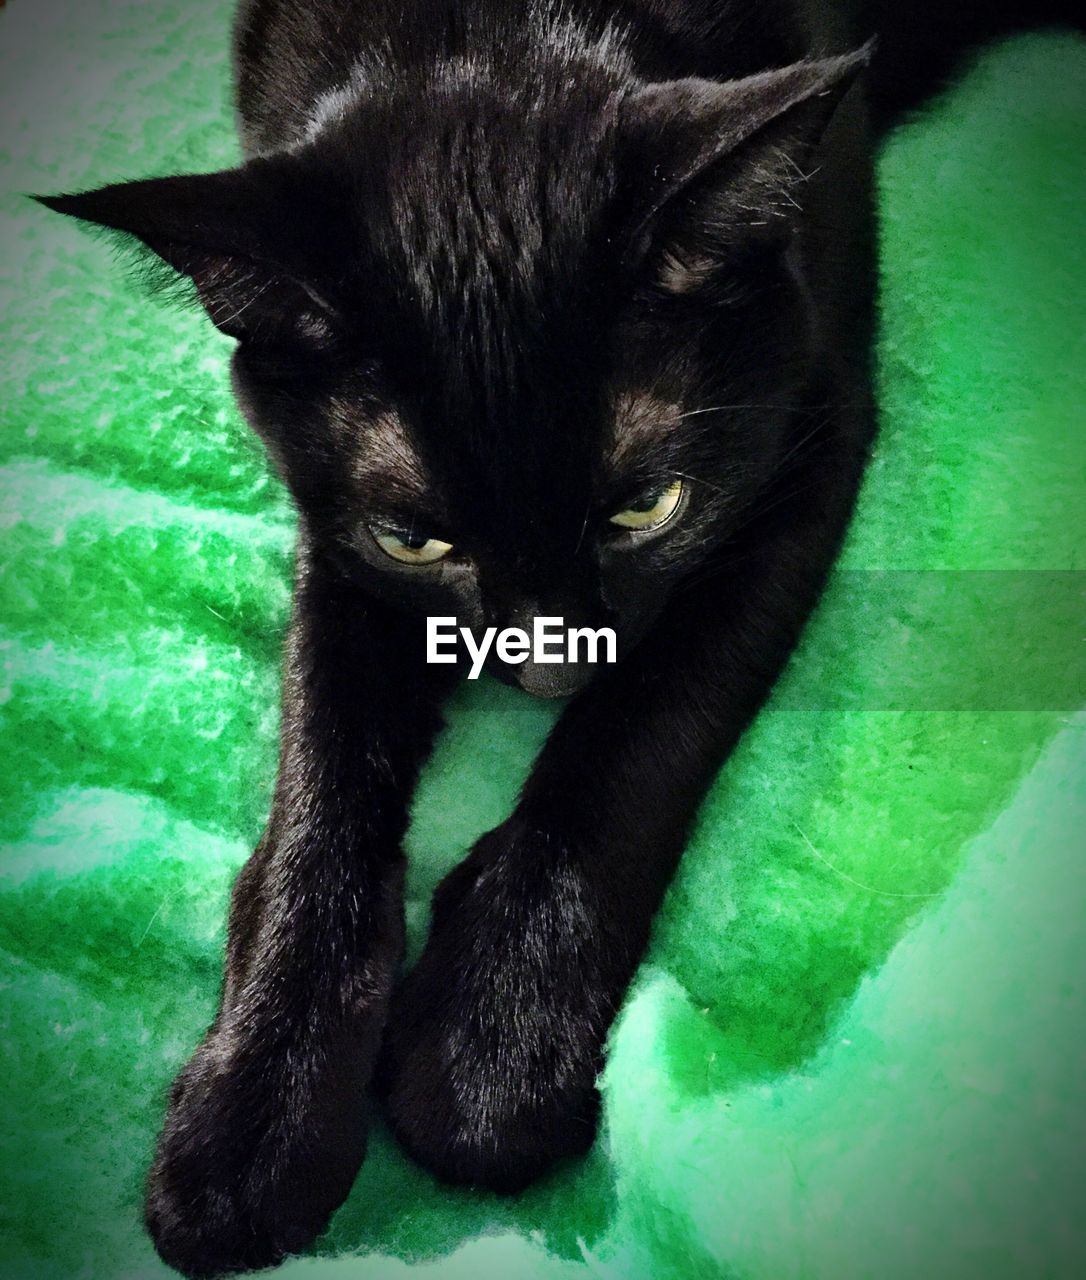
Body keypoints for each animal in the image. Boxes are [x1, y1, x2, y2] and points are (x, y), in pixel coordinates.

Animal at [33, 2, 1075, 1280]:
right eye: (413, 535)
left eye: (646, 507)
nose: (546, 669)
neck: (495, 33)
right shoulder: (339, 539)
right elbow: (322, 775)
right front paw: (249, 1120)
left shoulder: (809, 433)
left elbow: (648, 723)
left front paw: (493, 1052)